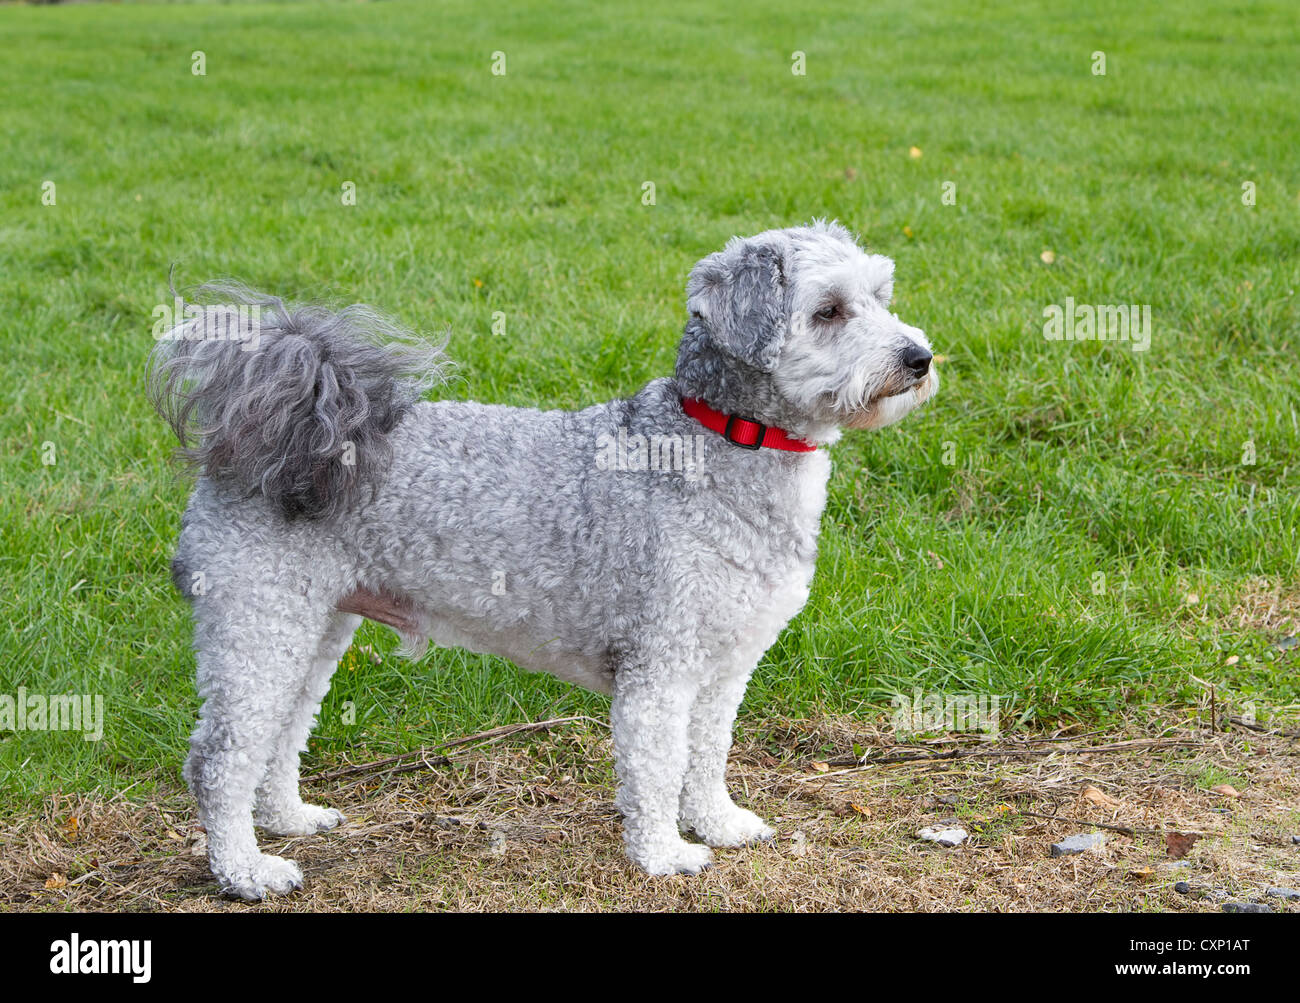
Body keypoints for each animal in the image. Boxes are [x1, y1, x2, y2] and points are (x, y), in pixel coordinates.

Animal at [147, 220, 935, 899]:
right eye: (827, 311)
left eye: (881, 294)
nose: (920, 357)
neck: (719, 442)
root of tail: (274, 429)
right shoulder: (659, 667)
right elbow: (657, 769)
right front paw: (664, 855)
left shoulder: (724, 666)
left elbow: (708, 755)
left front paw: (719, 823)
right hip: (259, 621)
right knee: (219, 760)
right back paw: (245, 870)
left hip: (312, 625)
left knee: (283, 731)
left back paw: (289, 819)